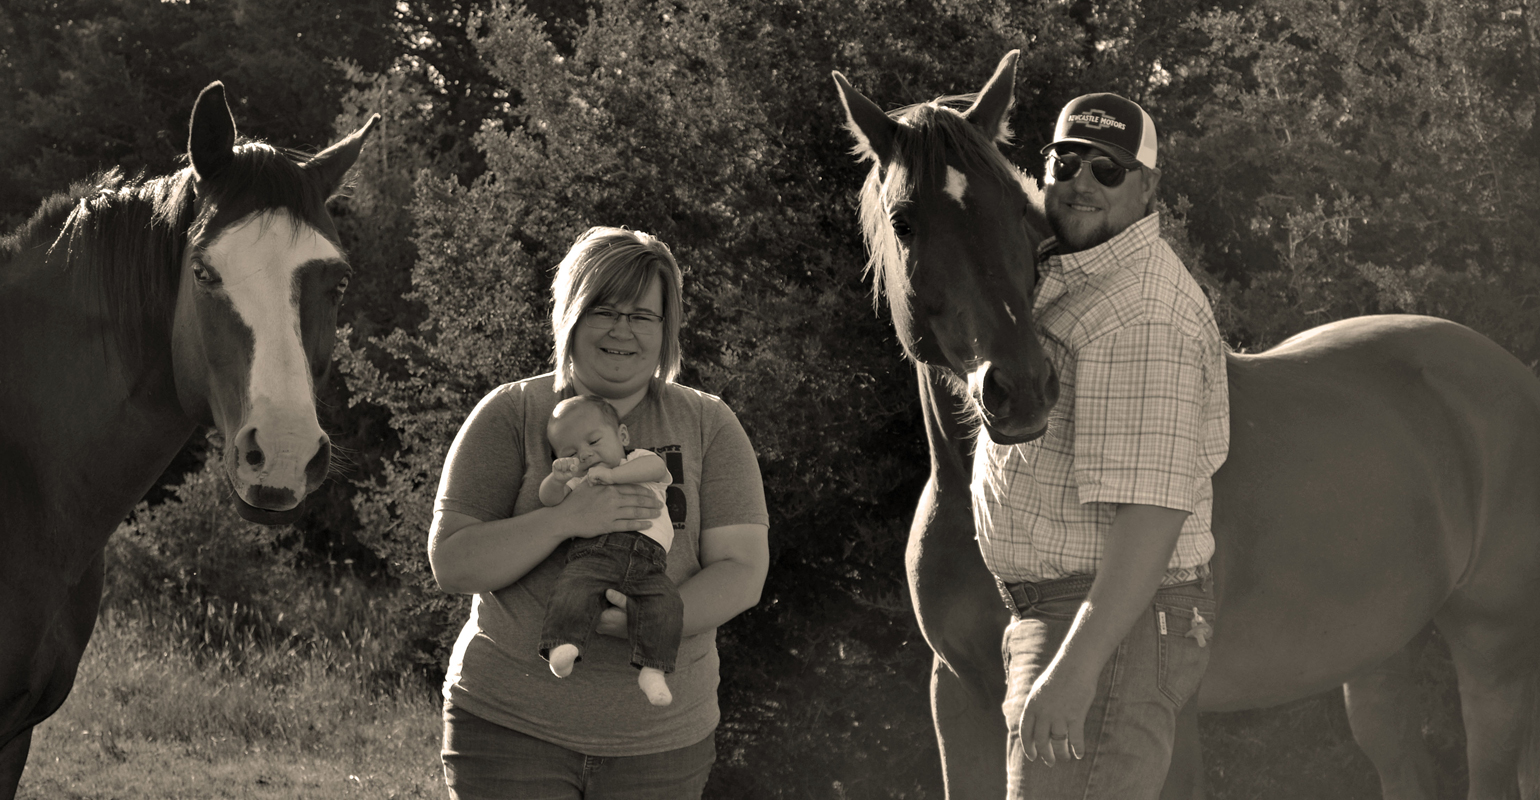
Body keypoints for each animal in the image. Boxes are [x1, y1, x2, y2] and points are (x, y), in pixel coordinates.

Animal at [837, 50, 1540, 800]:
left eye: (1017, 211)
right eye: (905, 222)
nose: (1021, 388)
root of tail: (1513, 380)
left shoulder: (1171, 724)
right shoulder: (959, 696)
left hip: (1493, 653)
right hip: (1379, 653)